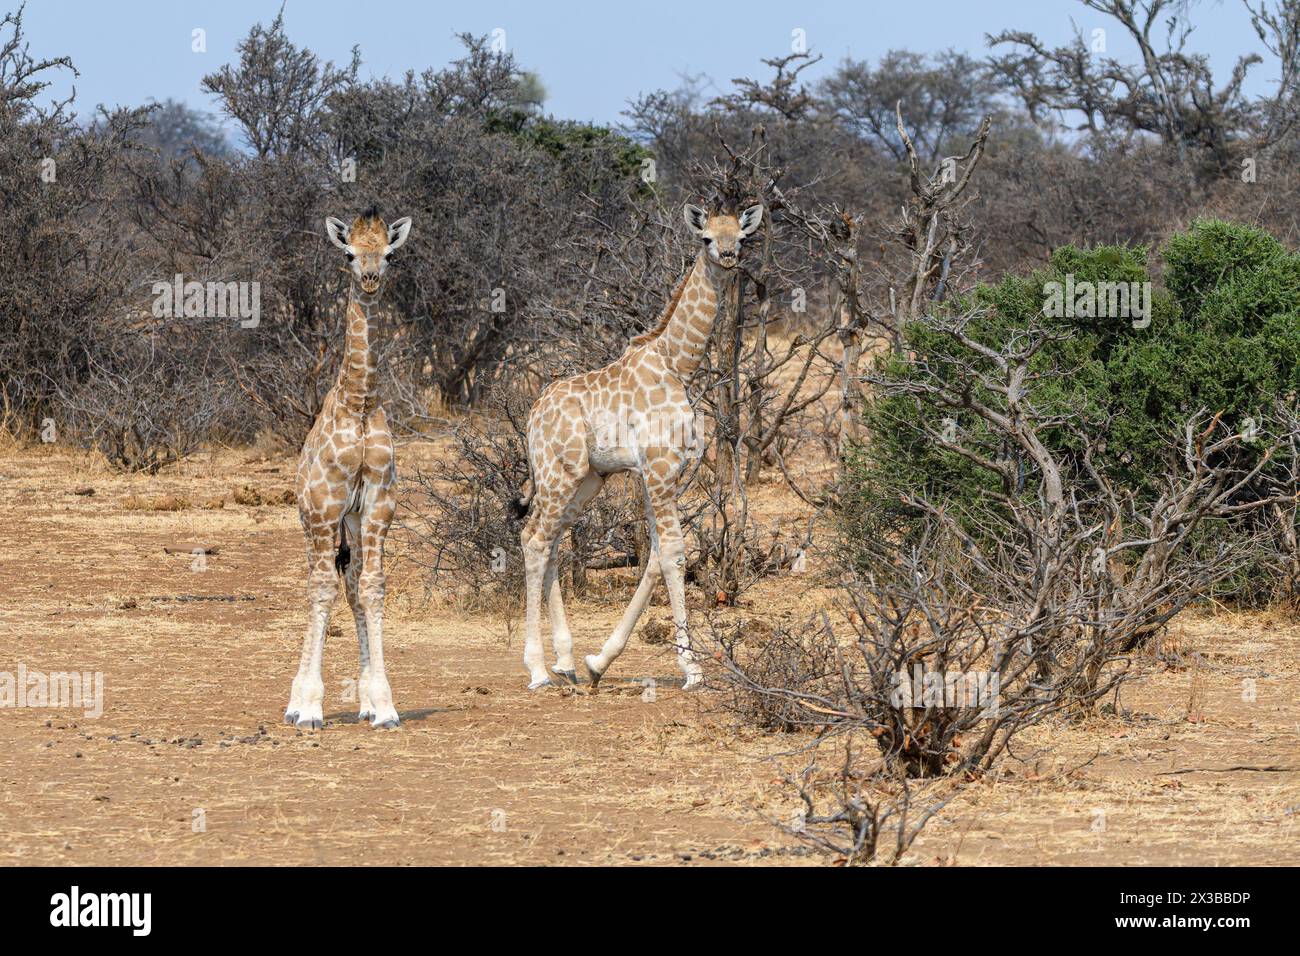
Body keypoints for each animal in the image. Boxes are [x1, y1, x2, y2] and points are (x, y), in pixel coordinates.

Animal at [513, 202, 764, 690]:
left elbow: (655, 556)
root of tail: (533, 415)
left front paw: (598, 661)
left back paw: (566, 661)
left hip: (588, 478)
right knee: (533, 539)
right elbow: (674, 553)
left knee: (552, 541)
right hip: (557, 473)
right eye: (706, 237)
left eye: (742, 237)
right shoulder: (660, 467)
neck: (678, 364)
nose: (727, 256)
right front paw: (692, 669)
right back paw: (535, 668)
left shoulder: (664, 473)